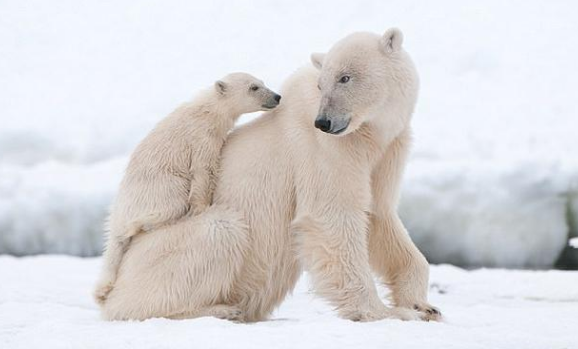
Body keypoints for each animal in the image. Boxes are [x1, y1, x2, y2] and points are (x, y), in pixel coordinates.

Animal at [93, 73, 282, 304]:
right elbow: (203, 170)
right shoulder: (201, 137)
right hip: (159, 188)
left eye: (262, 83)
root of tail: (118, 215)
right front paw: (201, 207)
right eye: (253, 87)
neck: (208, 110)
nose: (277, 96)